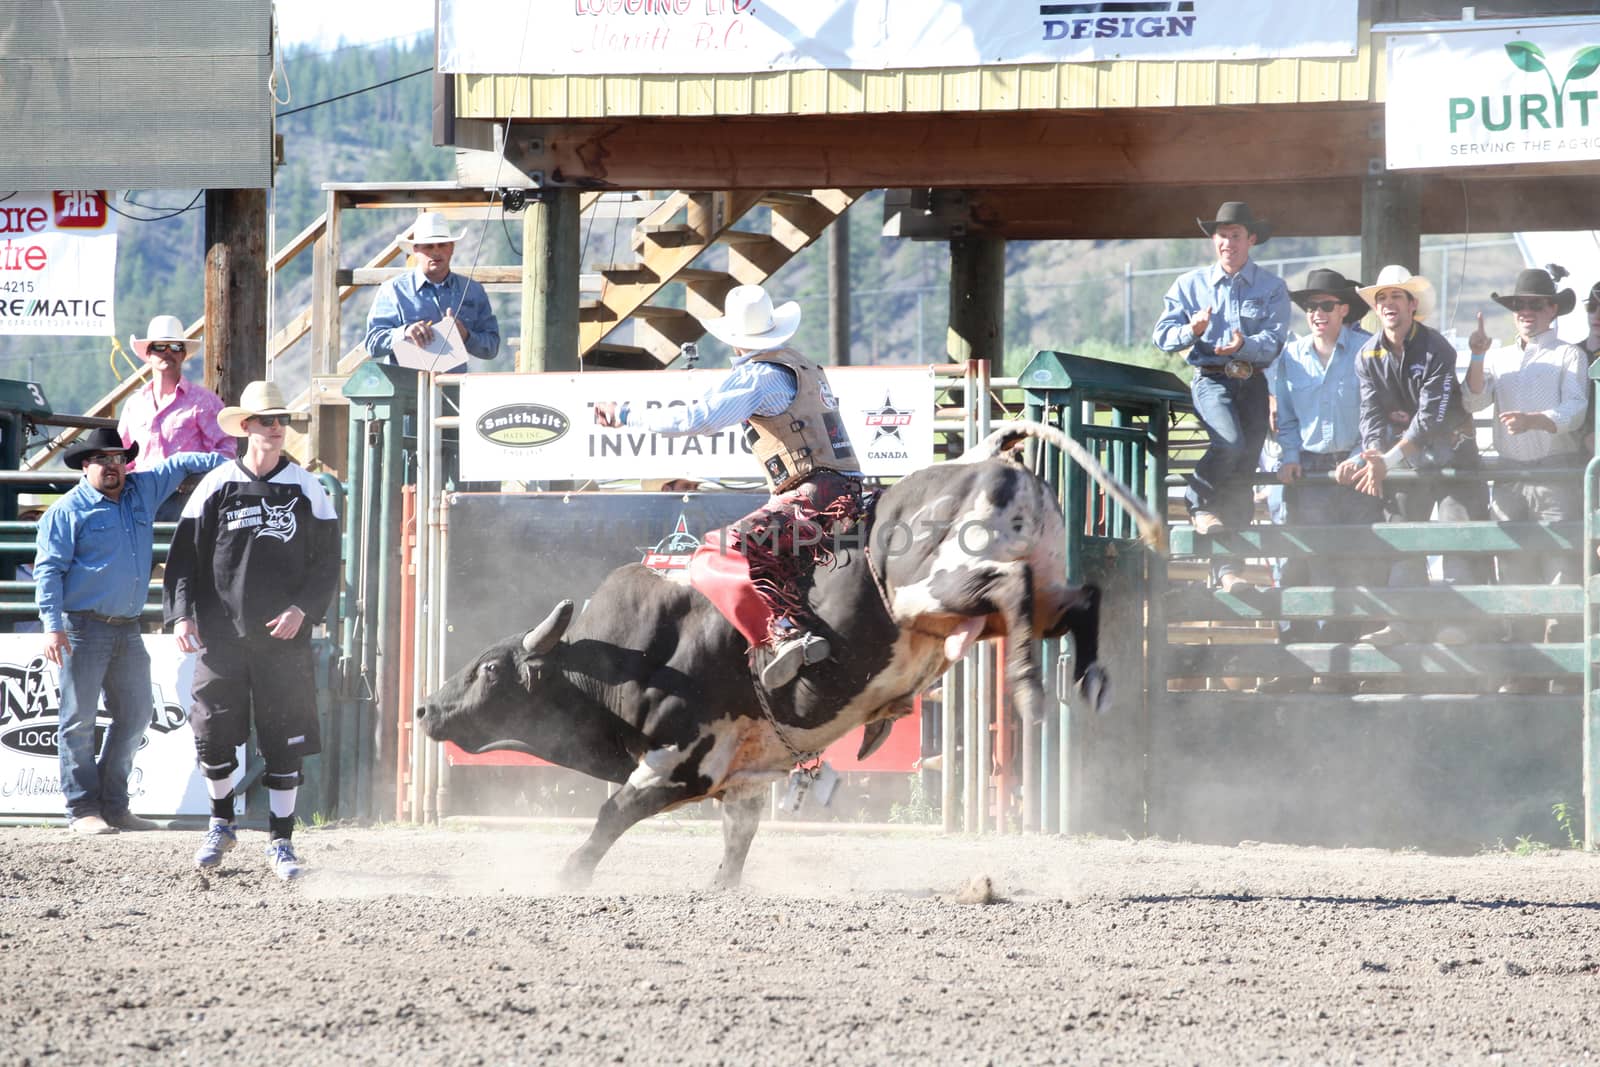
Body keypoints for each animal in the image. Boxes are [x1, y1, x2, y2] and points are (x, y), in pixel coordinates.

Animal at [419, 422, 1158, 889]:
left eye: (489, 668)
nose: (426, 708)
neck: (634, 654)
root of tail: (984, 458)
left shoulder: (678, 760)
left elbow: (611, 815)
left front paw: (570, 872)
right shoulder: (743, 780)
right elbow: (735, 844)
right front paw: (718, 886)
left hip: (936, 587)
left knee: (1009, 586)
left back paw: (1031, 686)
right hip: (1029, 587)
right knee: (1078, 598)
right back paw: (1088, 679)